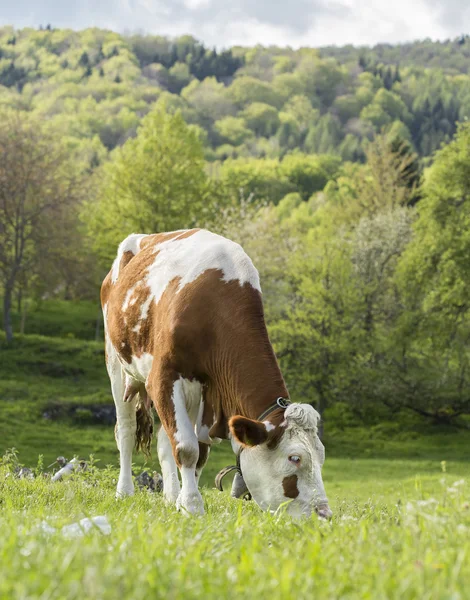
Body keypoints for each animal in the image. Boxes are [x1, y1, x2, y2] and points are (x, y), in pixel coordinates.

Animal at [101, 230, 332, 520]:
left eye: (321, 456)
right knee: (126, 429)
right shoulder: (164, 378)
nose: (324, 513)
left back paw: (170, 496)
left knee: (165, 442)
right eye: (295, 458)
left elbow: (198, 452)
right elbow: (186, 449)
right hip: (117, 364)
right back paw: (124, 492)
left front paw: (182, 502)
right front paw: (192, 505)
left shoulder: (207, 396)